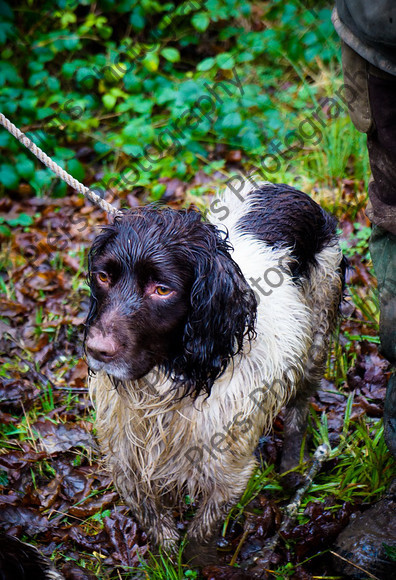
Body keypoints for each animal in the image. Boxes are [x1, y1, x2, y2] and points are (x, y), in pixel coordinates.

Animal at [85, 180, 344, 556]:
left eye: (162, 289)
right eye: (104, 276)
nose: (96, 350)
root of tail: (287, 188)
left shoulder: (230, 472)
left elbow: (199, 536)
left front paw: (196, 562)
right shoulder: (125, 461)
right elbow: (157, 526)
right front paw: (165, 559)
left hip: (318, 337)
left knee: (299, 407)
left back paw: (291, 469)